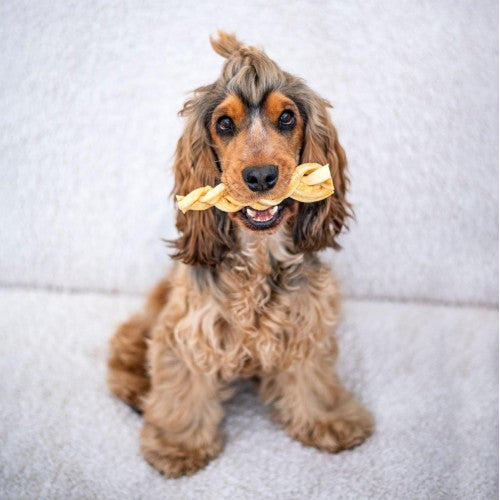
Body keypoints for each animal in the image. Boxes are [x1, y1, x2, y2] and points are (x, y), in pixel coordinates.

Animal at [107, 32, 373, 478]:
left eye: (287, 118)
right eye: (225, 124)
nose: (261, 176)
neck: (259, 256)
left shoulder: (306, 321)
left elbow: (313, 376)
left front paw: (329, 419)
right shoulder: (187, 328)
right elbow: (182, 384)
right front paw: (177, 444)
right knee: (125, 347)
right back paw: (136, 390)